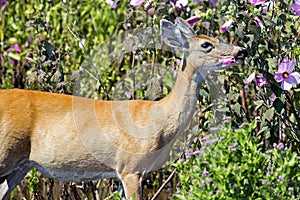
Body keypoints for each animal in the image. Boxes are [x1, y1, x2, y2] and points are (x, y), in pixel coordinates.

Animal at [0, 17, 247, 200]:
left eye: (217, 37)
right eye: (206, 45)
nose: (241, 51)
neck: (160, 120)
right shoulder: (131, 166)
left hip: (20, 165)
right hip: (5, 150)